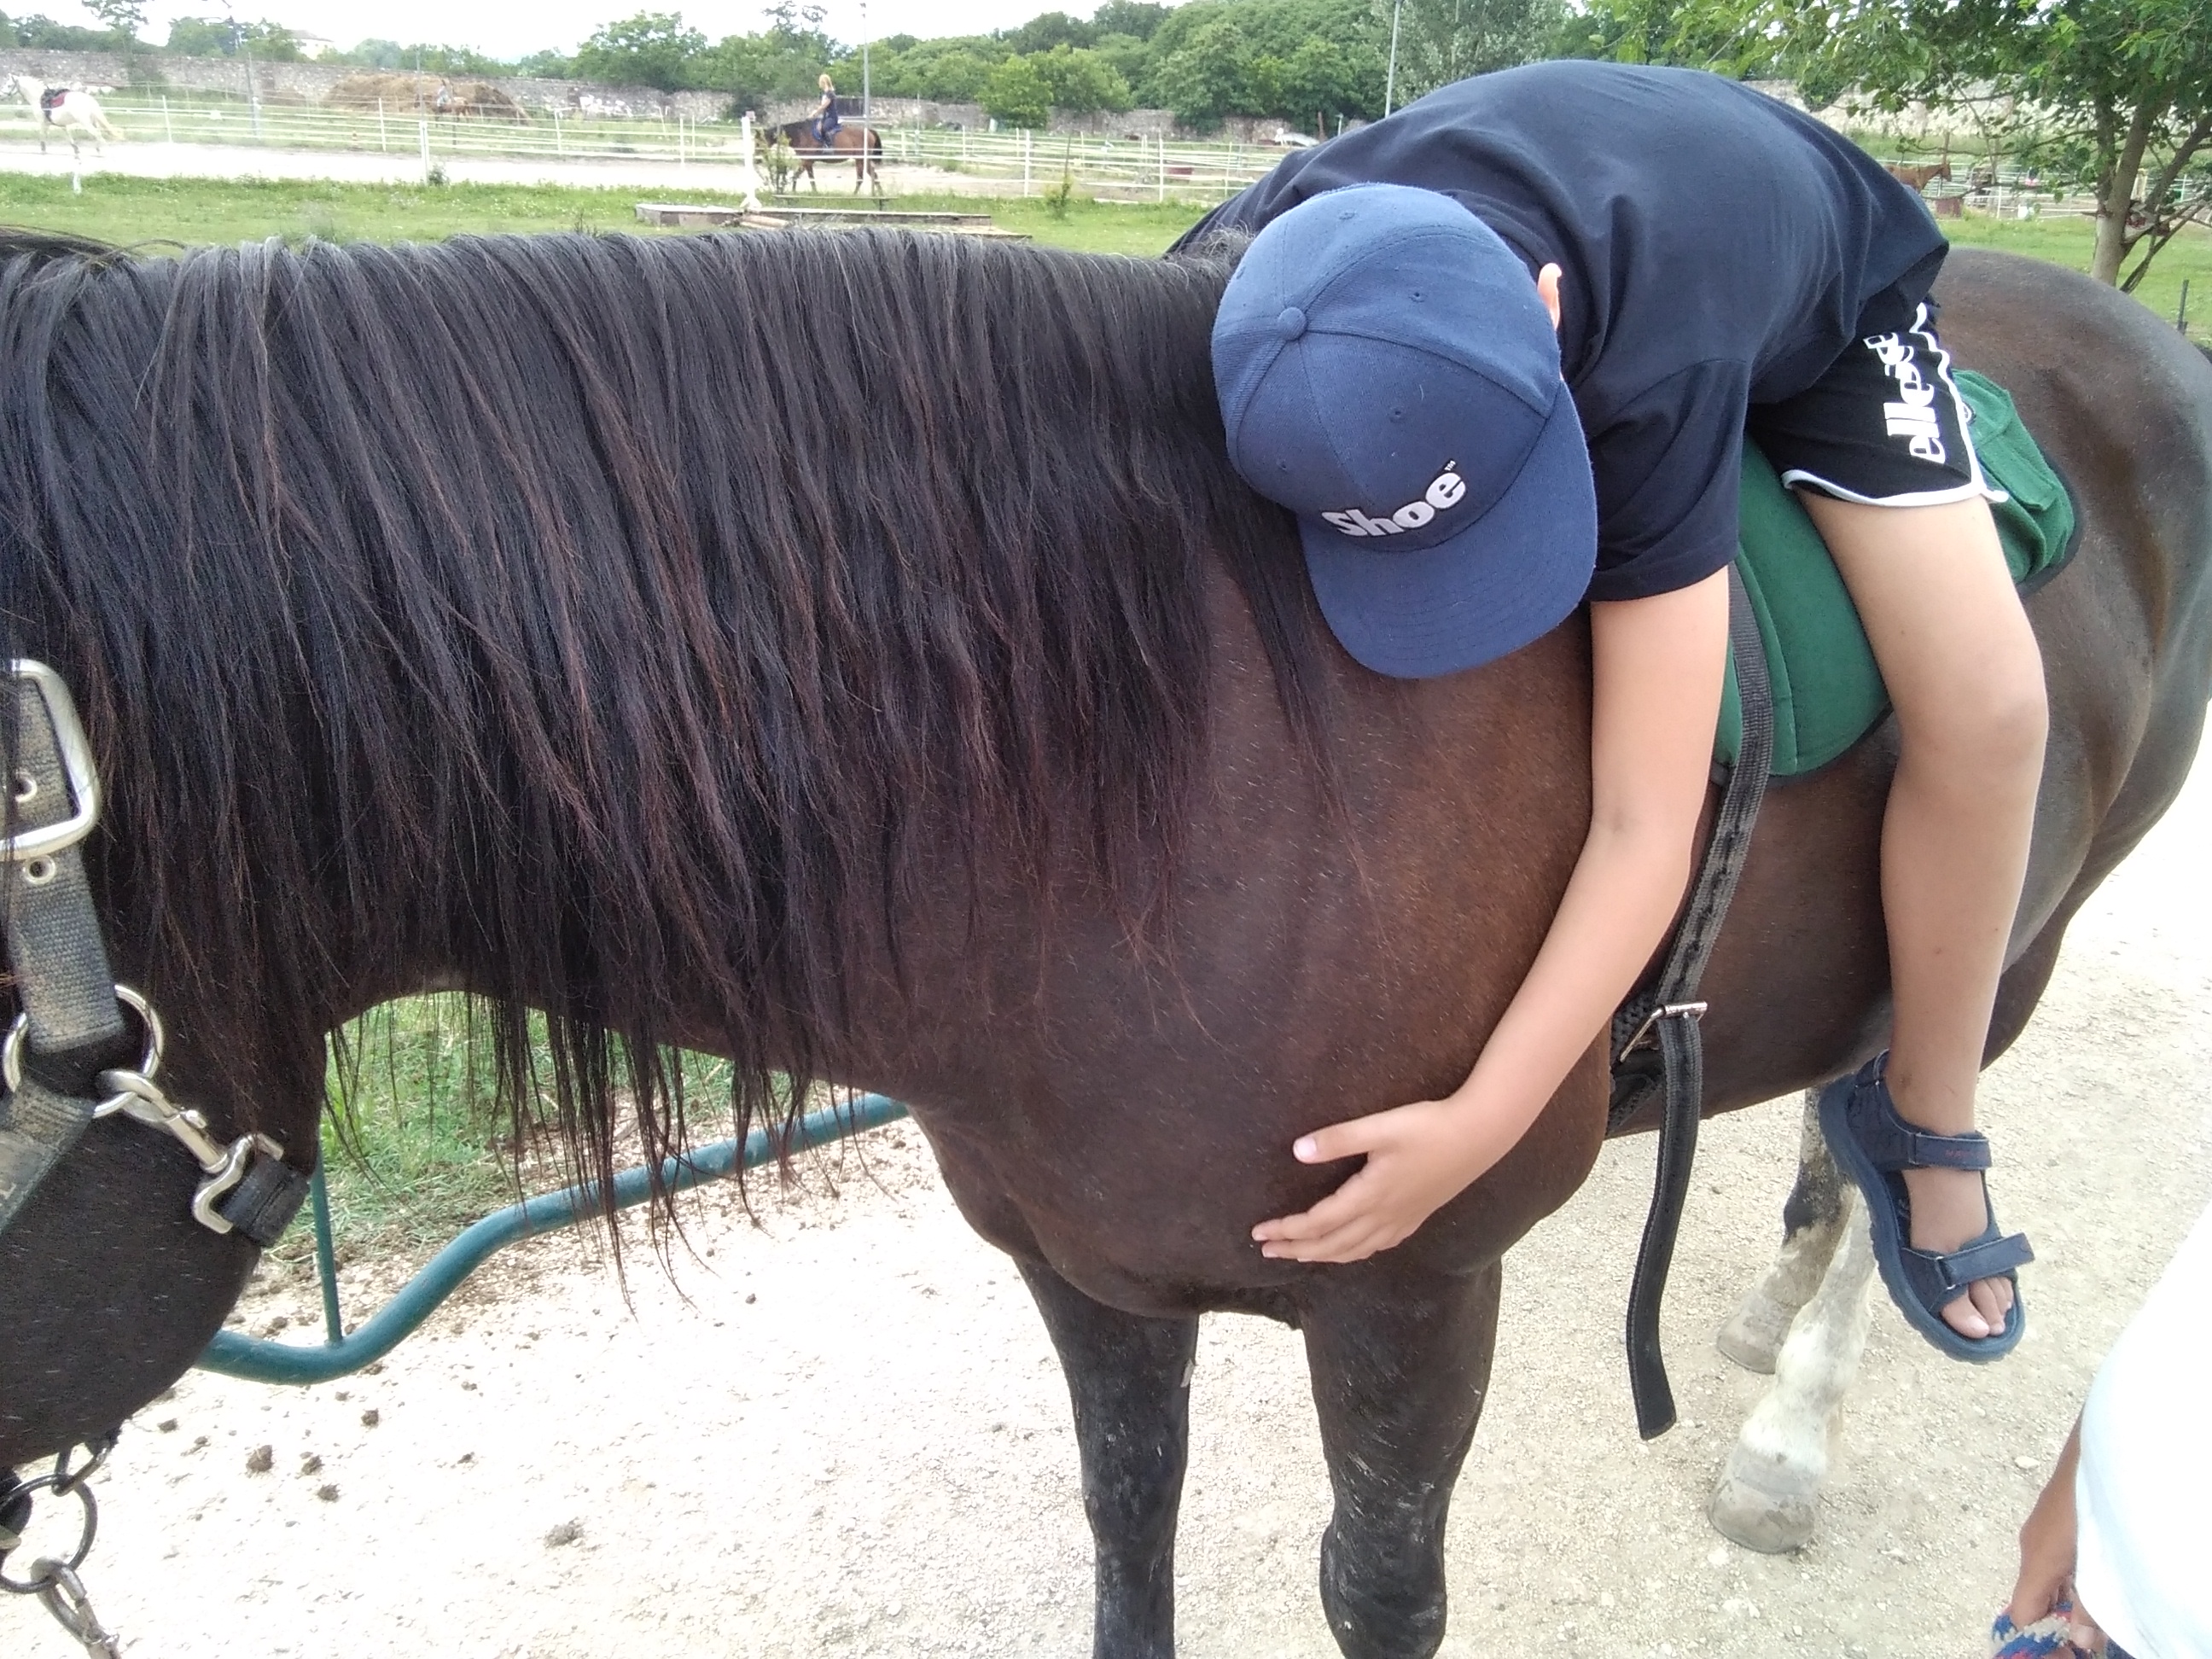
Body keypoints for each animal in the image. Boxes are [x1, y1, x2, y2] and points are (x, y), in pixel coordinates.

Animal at [0, 225, 2206, 1659]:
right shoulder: (1088, 1270)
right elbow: (1128, 1522)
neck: (1198, 747)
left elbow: (1375, 1587)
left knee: (1901, 1108)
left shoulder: (1415, 1299)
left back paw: (1790, 1421)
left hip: (2010, 922)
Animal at [7, 75, 124, 160]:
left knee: (98, 135)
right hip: (93, 122)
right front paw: (76, 151)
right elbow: (69, 137)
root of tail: (89, 100)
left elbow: (42, 136)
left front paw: (43, 150)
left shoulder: (43, 123)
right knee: (98, 134)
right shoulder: (62, 125)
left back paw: (102, 152)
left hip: (86, 123)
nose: (3, 95)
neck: (39, 99)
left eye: (8, 85)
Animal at [761, 117, 882, 194]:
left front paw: (811, 192)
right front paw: (796, 191)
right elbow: (801, 176)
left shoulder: (807, 162)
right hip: (861, 160)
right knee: (869, 176)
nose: (759, 153)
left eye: (762, 140)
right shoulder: (807, 162)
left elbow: (808, 177)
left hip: (861, 159)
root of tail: (869, 132)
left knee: (866, 177)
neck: (801, 135)